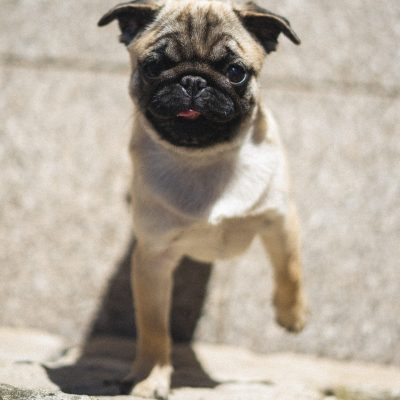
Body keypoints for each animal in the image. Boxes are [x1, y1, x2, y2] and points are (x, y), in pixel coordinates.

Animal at [98, 1, 304, 398]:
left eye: (236, 72)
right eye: (153, 67)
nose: (193, 81)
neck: (206, 158)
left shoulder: (279, 218)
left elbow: (289, 267)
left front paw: (292, 315)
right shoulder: (153, 259)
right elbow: (154, 327)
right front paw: (150, 376)